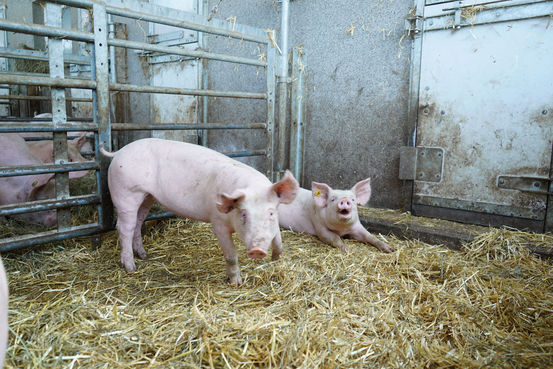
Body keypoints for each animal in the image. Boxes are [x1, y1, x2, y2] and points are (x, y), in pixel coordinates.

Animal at [99, 138, 298, 284]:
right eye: (243, 214)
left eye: (271, 213)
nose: (257, 250)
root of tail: (118, 152)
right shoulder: (218, 223)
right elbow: (231, 255)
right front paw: (236, 283)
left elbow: (279, 240)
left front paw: (275, 259)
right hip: (125, 194)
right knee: (124, 227)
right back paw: (131, 268)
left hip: (146, 196)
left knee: (138, 222)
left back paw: (144, 255)